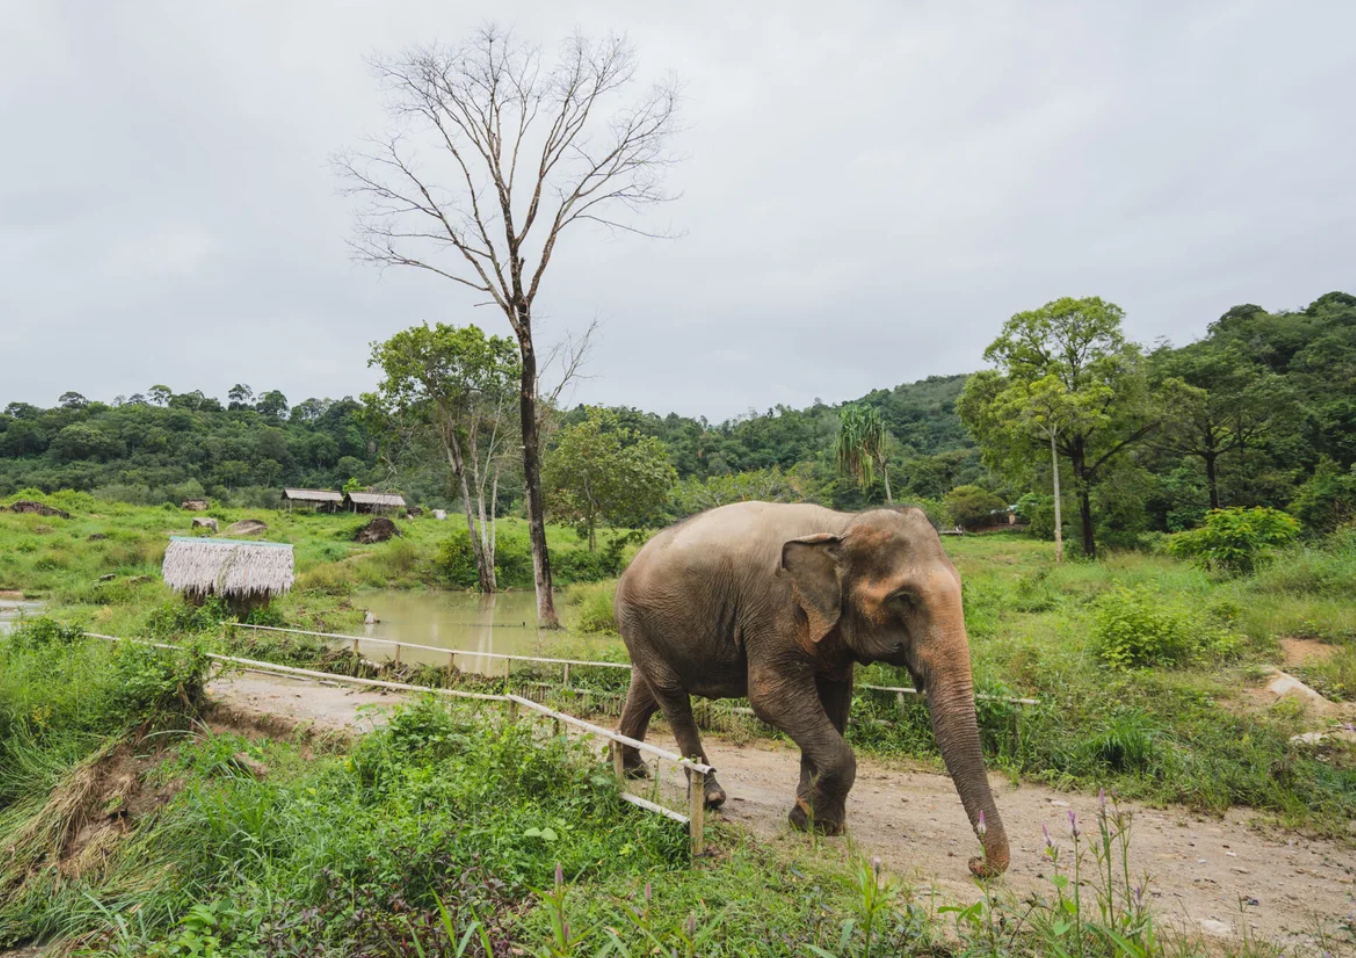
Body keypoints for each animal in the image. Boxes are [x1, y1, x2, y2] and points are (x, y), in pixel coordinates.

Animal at [613, 501, 1009, 878]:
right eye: (903, 598)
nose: (976, 864)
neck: (840, 525)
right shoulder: (774, 610)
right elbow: (770, 696)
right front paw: (813, 818)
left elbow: (835, 700)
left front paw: (814, 820)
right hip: (636, 617)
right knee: (671, 695)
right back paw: (710, 796)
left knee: (647, 689)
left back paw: (629, 770)